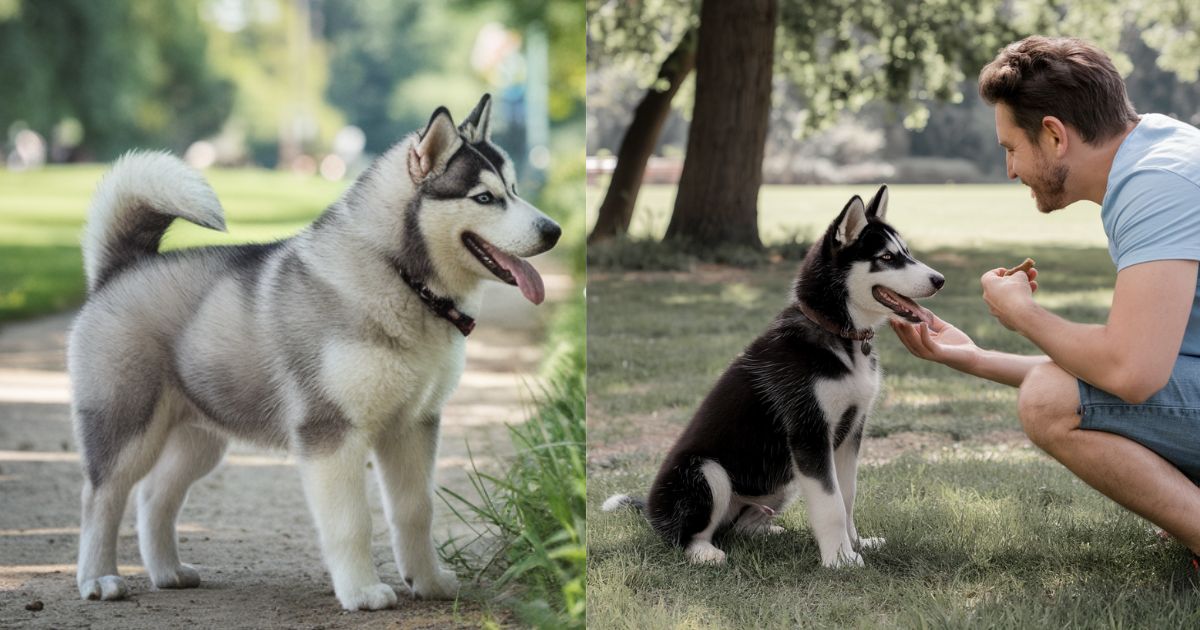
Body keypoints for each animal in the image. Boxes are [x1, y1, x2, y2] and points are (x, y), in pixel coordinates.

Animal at [71, 94, 561, 609]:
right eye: (484, 197)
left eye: (514, 188)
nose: (554, 230)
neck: (402, 277)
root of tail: (121, 269)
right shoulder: (331, 431)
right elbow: (352, 522)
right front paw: (362, 591)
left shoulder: (414, 425)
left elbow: (415, 510)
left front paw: (428, 582)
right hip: (127, 425)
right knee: (102, 497)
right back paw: (98, 579)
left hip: (200, 438)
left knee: (154, 496)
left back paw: (167, 571)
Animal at [604, 186, 940, 564]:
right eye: (886, 257)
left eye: (906, 253)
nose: (939, 280)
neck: (839, 334)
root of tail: (650, 510)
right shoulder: (809, 433)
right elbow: (831, 505)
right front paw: (839, 560)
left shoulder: (851, 430)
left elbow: (847, 496)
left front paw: (856, 544)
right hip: (706, 471)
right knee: (684, 535)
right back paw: (705, 552)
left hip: (785, 478)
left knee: (740, 527)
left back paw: (765, 531)